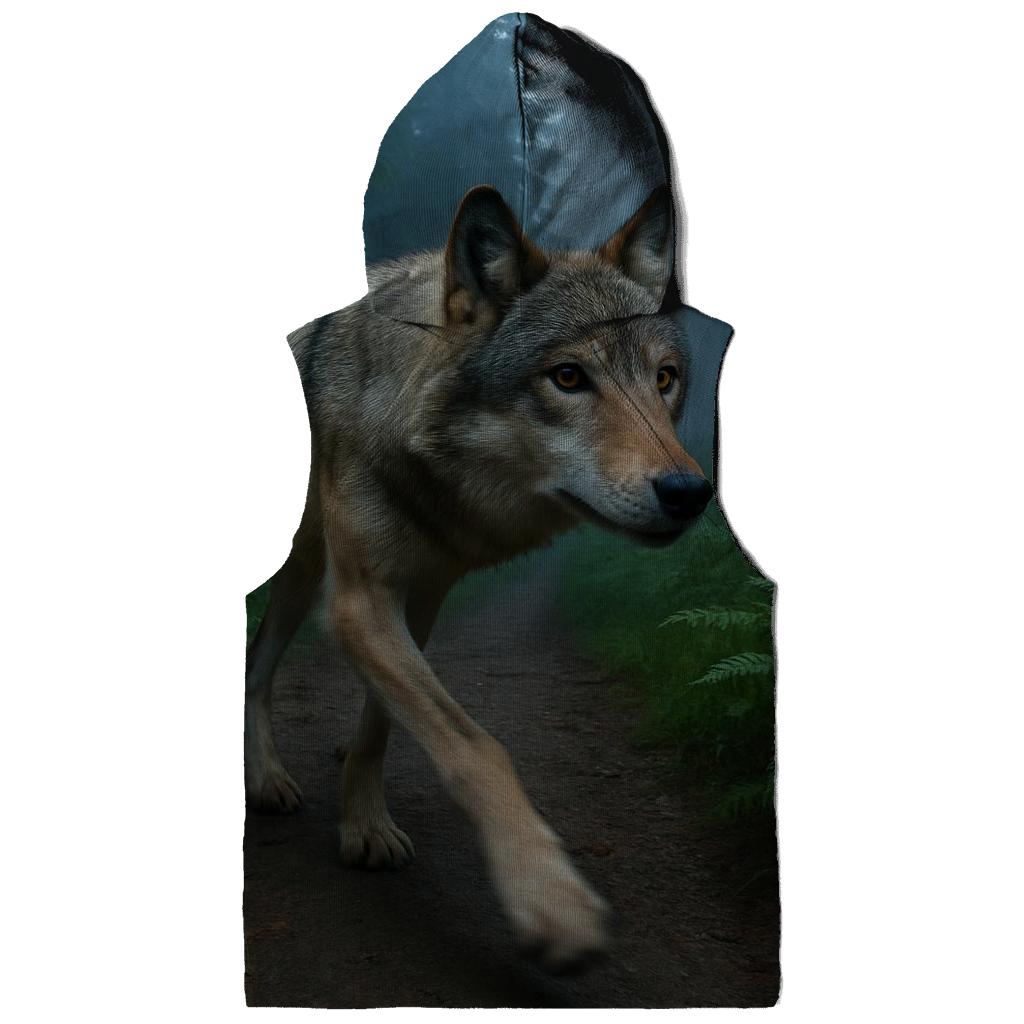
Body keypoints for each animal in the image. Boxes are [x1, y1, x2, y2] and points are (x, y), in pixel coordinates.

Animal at [245, 183, 713, 970]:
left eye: (664, 379)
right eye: (567, 377)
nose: (689, 492)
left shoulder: (426, 592)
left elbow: (385, 724)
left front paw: (364, 823)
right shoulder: (361, 600)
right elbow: (476, 747)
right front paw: (551, 902)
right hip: (302, 576)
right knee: (258, 660)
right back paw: (266, 777)